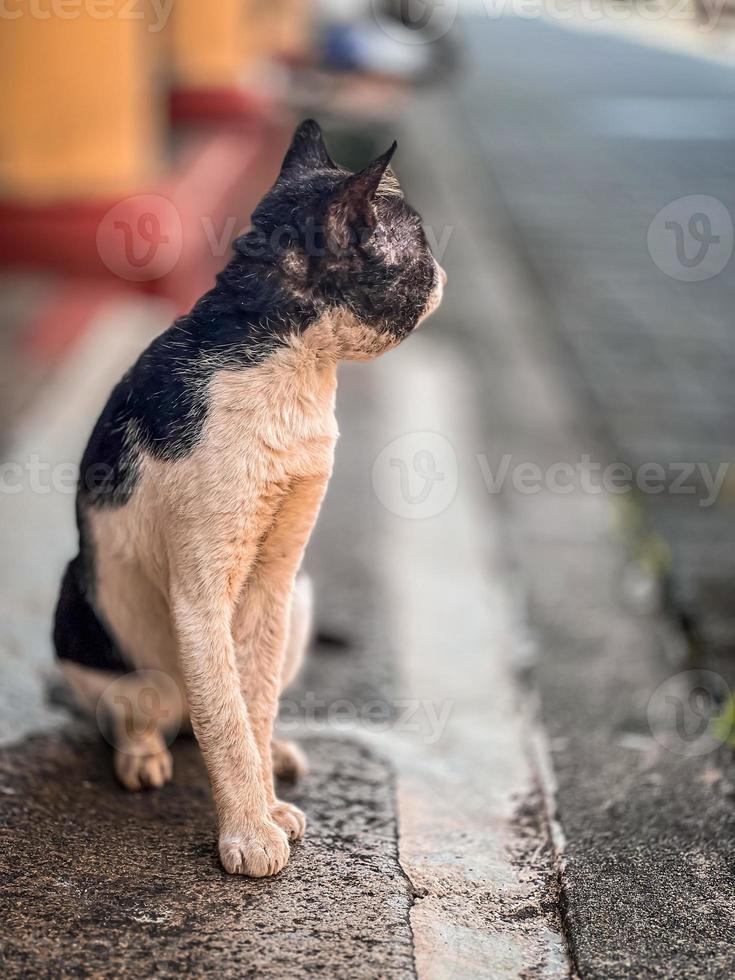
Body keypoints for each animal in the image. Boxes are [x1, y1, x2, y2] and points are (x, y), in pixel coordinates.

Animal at [54, 118, 446, 876]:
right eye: (422, 244)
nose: (446, 270)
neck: (299, 377)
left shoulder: (274, 577)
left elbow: (255, 704)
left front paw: (266, 802)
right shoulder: (202, 589)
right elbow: (228, 721)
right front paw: (249, 833)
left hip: (301, 598)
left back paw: (283, 758)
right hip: (96, 622)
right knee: (145, 715)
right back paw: (145, 757)